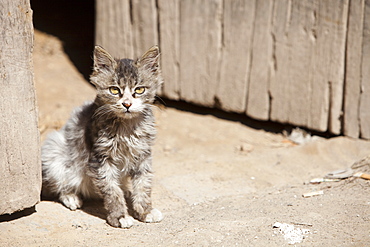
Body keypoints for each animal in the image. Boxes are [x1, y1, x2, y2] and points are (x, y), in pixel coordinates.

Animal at [40, 45, 163, 228]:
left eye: (139, 90)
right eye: (114, 90)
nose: (127, 104)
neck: (126, 128)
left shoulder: (142, 155)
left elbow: (143, 186)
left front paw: (145, 211)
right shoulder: (101, 159)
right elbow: (112, 191)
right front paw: (120, 216)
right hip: (55, 151)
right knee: (57, 186)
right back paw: (71, 197)